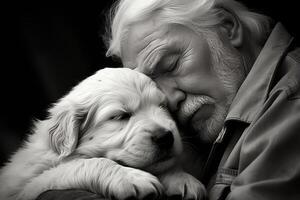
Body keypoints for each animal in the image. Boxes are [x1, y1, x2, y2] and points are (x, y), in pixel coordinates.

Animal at [0, 68, 206, 199]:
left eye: (163, 106)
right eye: (120, 116)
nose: (165, 137)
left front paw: (181, 178)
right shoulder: (25, 188)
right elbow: (83, 164)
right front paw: (130, 177)